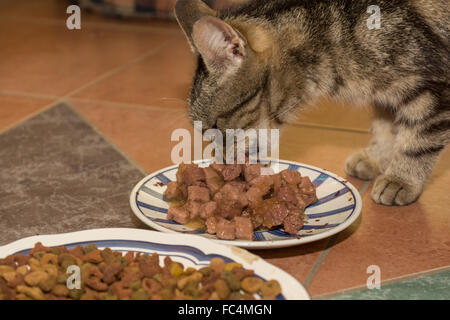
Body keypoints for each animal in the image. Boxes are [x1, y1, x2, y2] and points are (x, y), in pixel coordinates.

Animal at [172, 0, 446, 205]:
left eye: (215, 127)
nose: (223, 165)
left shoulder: (431, 87)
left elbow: (418, 142)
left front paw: (401, 179)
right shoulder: (384, 95)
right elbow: (384, 126)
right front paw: (377, 157)